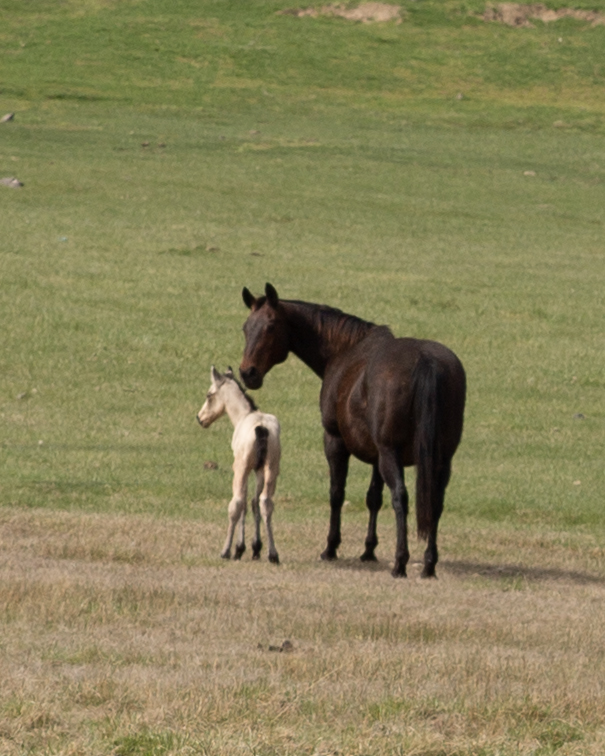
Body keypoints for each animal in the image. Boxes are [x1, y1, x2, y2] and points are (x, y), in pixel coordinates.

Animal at [197, 366, 281, 564]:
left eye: (209, 395)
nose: (200, 418)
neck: (245, 415)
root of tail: (261, 428)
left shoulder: (244, 469)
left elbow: (243, 503)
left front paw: (240, 548)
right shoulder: (259, 470)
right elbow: (254, 502)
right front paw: (256, 548)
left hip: (241, 469)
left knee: (237, 503)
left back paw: (226, 551)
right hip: (271, 468)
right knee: (265, 502)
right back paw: (273, 554)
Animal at [239, 283, 466, 578]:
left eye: (271, 326)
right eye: (246, 327)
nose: (247, 373)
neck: (345, 350)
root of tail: (425, 361)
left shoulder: (336, 441)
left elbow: (337, 493)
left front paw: (331, 547)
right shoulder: (376, 455)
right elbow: (373, 498)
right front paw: (369, 550)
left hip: (391, 454)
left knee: (401, 497)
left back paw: (400, 562)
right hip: (440, 459)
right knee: (435, 502)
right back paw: (428, 564)